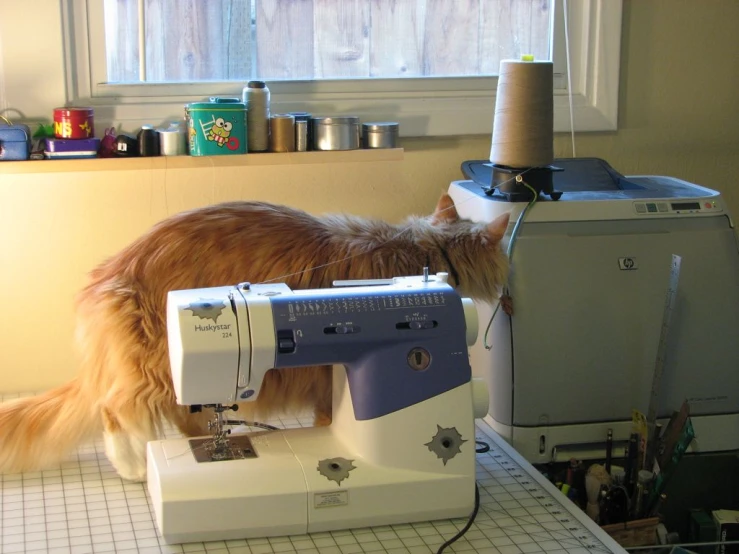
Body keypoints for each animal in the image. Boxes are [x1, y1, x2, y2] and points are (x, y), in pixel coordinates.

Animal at [0, 193, 508, 478]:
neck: (424, 252)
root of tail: (107, 274)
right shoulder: (330, 381)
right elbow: (332, 421)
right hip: (155, 362)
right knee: (117, 407)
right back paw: (135, 467)